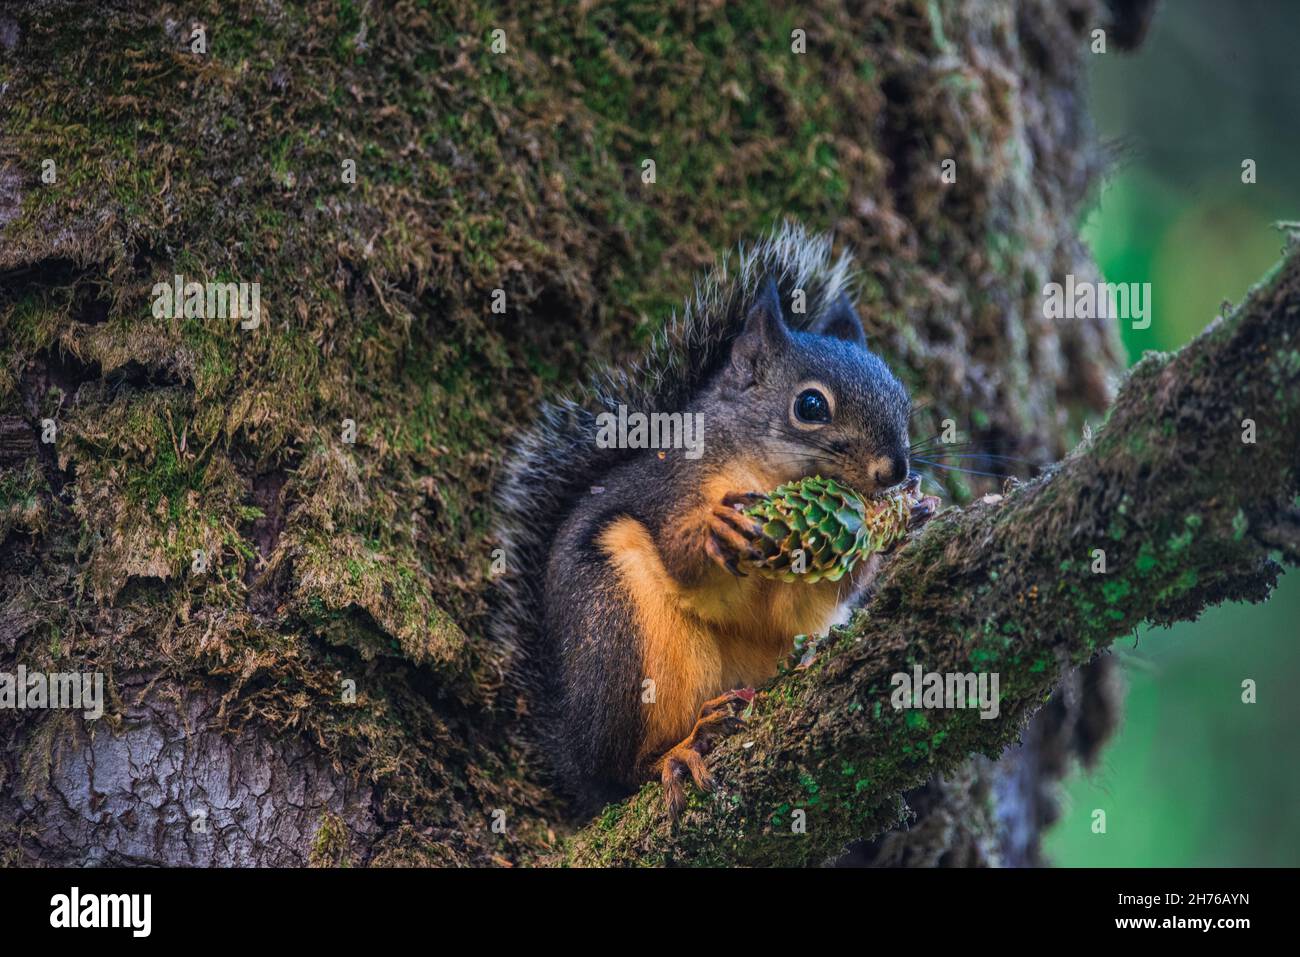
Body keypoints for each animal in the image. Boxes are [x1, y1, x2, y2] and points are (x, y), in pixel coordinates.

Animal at [492, 223, 933, 816]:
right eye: (811, 406)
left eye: (902, 399)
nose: (895, 470)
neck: (764, 474)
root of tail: (572, 755)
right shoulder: (674, 487)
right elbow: (682, 557)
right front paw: (711, 534)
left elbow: (806, 604)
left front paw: (905, 522)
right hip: (624, 635)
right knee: (621, 773)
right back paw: (676, 751)